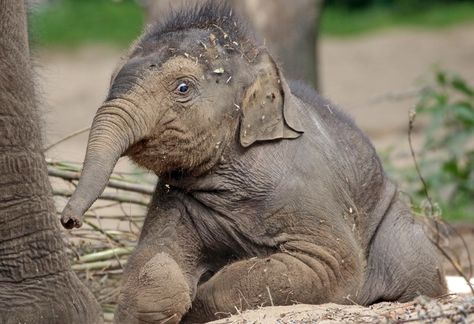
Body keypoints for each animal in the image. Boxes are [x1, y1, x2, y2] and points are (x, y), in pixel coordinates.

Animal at [59, 1, 444, 322]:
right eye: (111, 80)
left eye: (183, 88)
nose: (69, 220)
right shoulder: (171, 198)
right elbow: (153, 254)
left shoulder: (307, 190)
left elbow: (334, 266)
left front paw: (198, 297)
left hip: (400, 236)